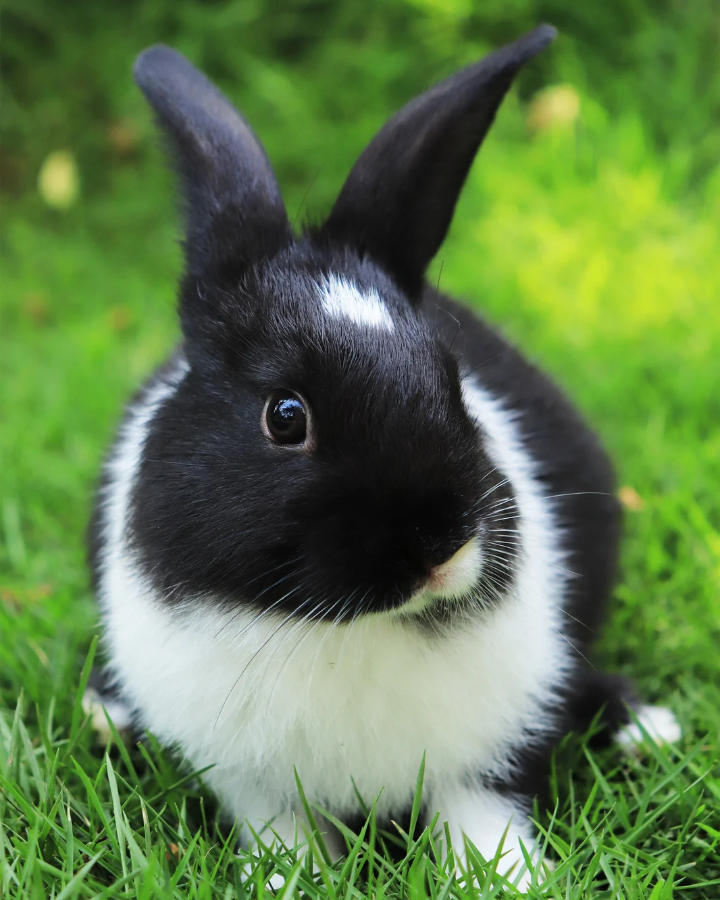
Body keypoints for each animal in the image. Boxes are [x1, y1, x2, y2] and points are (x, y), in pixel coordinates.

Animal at [88, 25, 681, 890]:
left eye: (452, 379)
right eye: (286, 416)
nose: (442, 545)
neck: (344, 625)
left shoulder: (488, 758)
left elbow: (483, 822)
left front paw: (509, 883)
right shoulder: (255, 785)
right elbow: (285, 836)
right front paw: (289, 883)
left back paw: (649, 728)